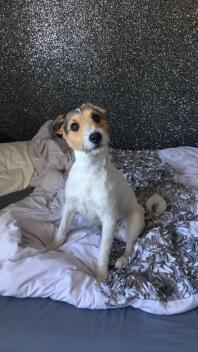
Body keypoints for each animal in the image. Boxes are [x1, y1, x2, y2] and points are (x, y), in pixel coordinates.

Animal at [49, 103, 166, 282]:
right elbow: (62, 229)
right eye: (74, 126)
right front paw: (52, 247)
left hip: (133, 220)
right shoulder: (69, 208)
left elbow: (103, 253)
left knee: (130, 246)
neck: (89, 171)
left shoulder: (109, 219)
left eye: (96, 117)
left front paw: (100, 276)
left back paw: (122, 260)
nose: (95, 136)